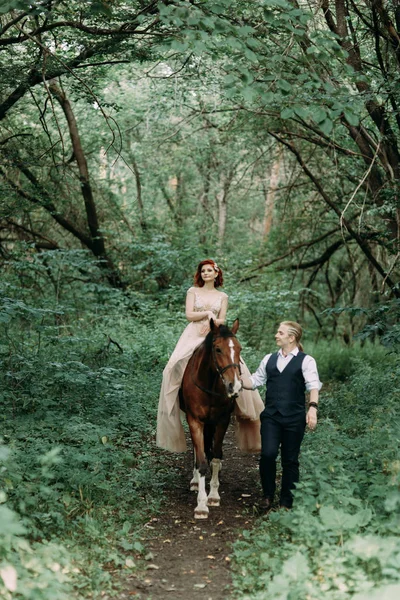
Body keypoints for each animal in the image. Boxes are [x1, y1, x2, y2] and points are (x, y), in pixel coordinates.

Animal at [180, 316, 242, 516]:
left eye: (239, 349)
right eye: (218, 349)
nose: (235, 386)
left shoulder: (222, 421)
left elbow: (215, 456)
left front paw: (213, 496)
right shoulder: (194, 420)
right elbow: (201, 461)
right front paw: (201, 504)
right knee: (197, 450)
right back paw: (194, 481)